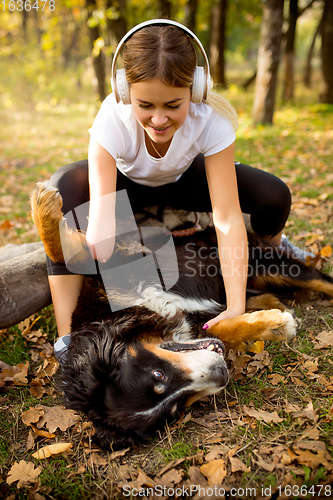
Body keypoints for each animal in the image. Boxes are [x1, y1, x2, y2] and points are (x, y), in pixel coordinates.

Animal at [30, 182, 332, 452]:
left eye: (158, 374)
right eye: (176, 408)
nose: (221, 374)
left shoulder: (118, 263)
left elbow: (66, 254)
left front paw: (44, 205)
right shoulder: (200, 322)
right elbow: (223, 330)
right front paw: (274, 324)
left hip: (268, 261)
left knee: (319, 279)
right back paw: (271, 301)